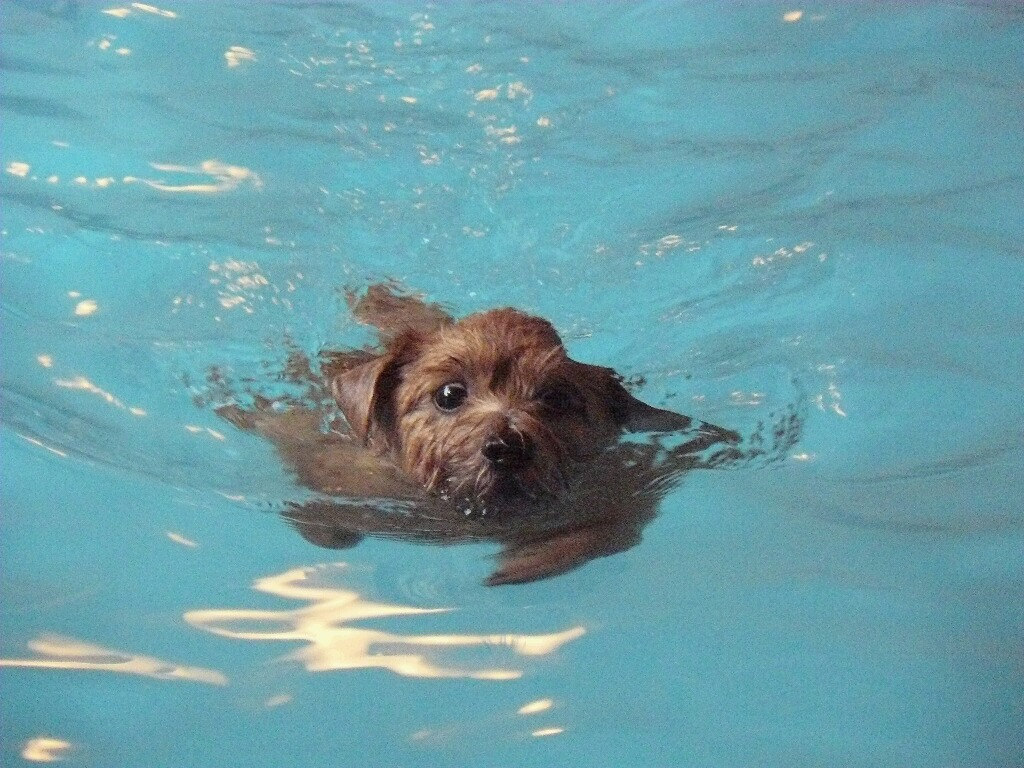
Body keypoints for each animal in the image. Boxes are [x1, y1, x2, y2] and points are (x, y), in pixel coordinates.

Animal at [213, 285, 760, 585]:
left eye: (555, 399)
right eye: (449, 394)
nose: (506, 446)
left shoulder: (627, 488)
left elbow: (604, 532)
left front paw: (520, 564)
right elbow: (324, 517)